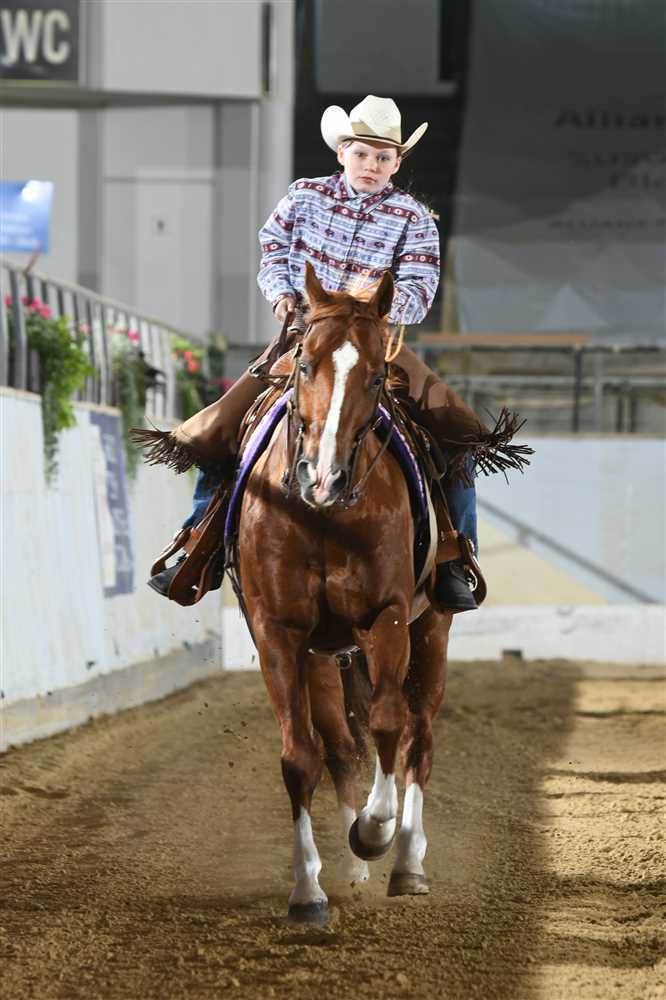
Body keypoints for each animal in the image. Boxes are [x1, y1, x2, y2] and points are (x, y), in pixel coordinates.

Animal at [237, 262, 452, 924]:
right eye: (305, 363)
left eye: (378, 374)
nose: (323, 477)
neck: (322, 517)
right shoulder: (279, 633)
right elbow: (300, 757)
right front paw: (307, 890)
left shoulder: (386, 616)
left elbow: (386, 723)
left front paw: (375, 831)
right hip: (322, 656)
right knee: (335, 747)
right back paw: (353, 870)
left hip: (431, 628)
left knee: (418, 735)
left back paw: (405, 861)